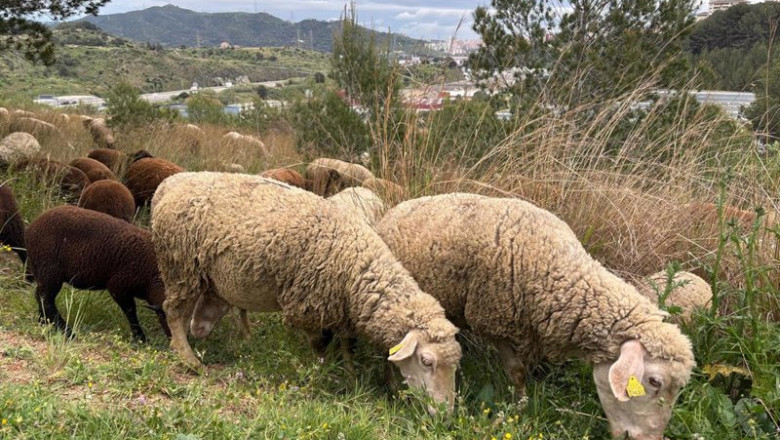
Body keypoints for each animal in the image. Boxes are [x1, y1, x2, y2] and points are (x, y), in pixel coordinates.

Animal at [24, 205, 169, 341]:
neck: (153, 276)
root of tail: (31, 228)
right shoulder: (117, 286)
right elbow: (131, 311)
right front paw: (141, 338)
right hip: (50, 271)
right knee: (45, 299)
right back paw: (67, 332)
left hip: (42, 272)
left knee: (41, 296)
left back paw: (44, 323)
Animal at [151, 172, 462, 412]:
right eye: (426, 361)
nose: (445, 415)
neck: (356, 265)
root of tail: (168, 184)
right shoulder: (309, 306)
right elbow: (319, 344)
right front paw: (323, 370)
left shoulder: (341, 310)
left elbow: (347, 345)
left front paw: (351, 376)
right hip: (179, 264)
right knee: (173, 311)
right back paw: (188, 358)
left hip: (203, 277)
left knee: (193, 314)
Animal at [376, 193, 695, 439]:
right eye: (654, 382)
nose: (650, 439)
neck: (555, 270)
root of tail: (400, 206)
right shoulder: (495, 320)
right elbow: (517, 371)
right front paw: (521, 405)